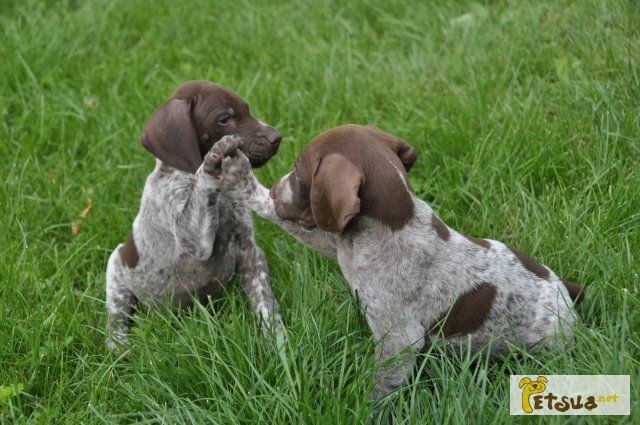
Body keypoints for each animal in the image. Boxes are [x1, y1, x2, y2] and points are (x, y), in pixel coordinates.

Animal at [106, 79, 284, 352]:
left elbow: (265, 302)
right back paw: (120, 348)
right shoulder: (192, 237)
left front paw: (278, 343)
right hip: (115, 273)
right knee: (115, 320)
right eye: (224, 119)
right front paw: (212, 160)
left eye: (247, 110)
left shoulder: (249, 252)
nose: (277, 138)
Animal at [212, 123, 584, 398]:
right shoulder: (337, 242)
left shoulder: (399, 341)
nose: (277, 188)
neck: (395, 221)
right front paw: (239, 179)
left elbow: (382, 389)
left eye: (300, 169)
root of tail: (564, 292)